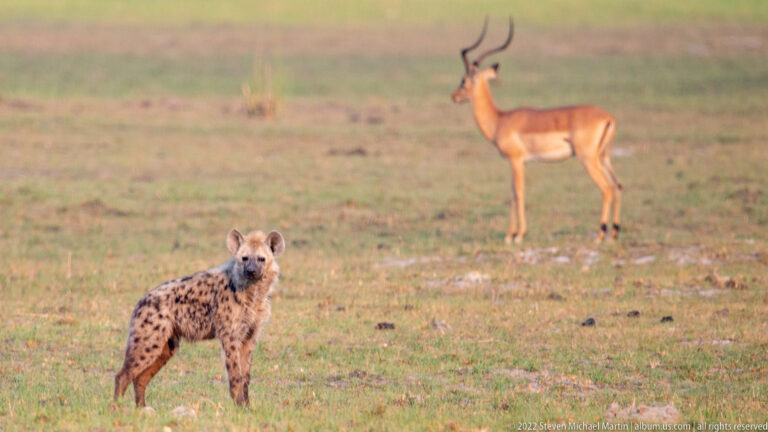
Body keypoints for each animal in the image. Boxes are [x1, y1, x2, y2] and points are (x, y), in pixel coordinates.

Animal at [452, 18, 622, 244]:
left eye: (463, 80)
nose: (454, 96)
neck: (500, 119)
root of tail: (608, 117)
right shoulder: (517, 162)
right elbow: (512, 195)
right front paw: (510, 234)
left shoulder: (516, 160)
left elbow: (519, 193)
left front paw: (518, 235)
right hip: (603, 157)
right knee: (618, 185)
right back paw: (614, 233)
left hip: (588, 158)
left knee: (607, 188)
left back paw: (600, 234)